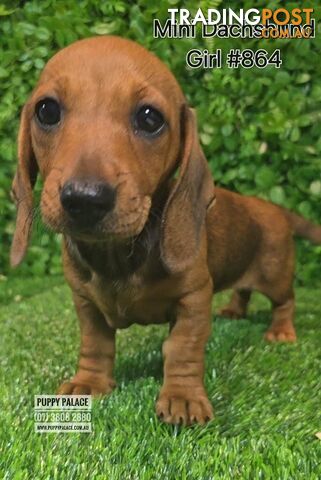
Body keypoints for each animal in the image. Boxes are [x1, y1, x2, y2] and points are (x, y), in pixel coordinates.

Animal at [10, 37, 320, 426]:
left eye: (150, 118)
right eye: (47, 111)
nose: (84, 199)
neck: (119, 256)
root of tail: (274, 208)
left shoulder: (195, 298)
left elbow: (182, 349)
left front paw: (183, 397)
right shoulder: (85, 301)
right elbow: (95, 343)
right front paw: (89, 382)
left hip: (275, 276)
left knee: (285, 301)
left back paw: (280, 330)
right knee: (243, 291)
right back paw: (235, 310)